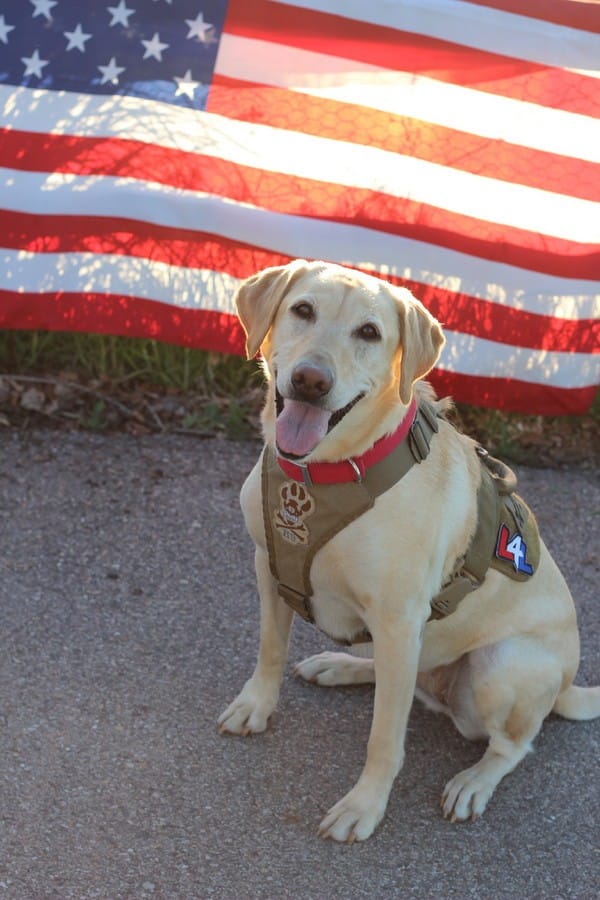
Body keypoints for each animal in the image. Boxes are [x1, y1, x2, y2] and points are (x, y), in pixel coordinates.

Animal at [218, 260, 596, 844]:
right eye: (302, 310)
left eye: (370, 333)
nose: (310, 380)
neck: (324, 474)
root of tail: (565, 688)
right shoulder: (269, 566)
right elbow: (270, 649)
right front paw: (256, 705)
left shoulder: (398, 618)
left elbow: (384, 737)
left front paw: (364, 805)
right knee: (401, 678)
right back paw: (340, 665)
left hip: (499, 666)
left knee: (511, 744)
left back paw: (474, 781)